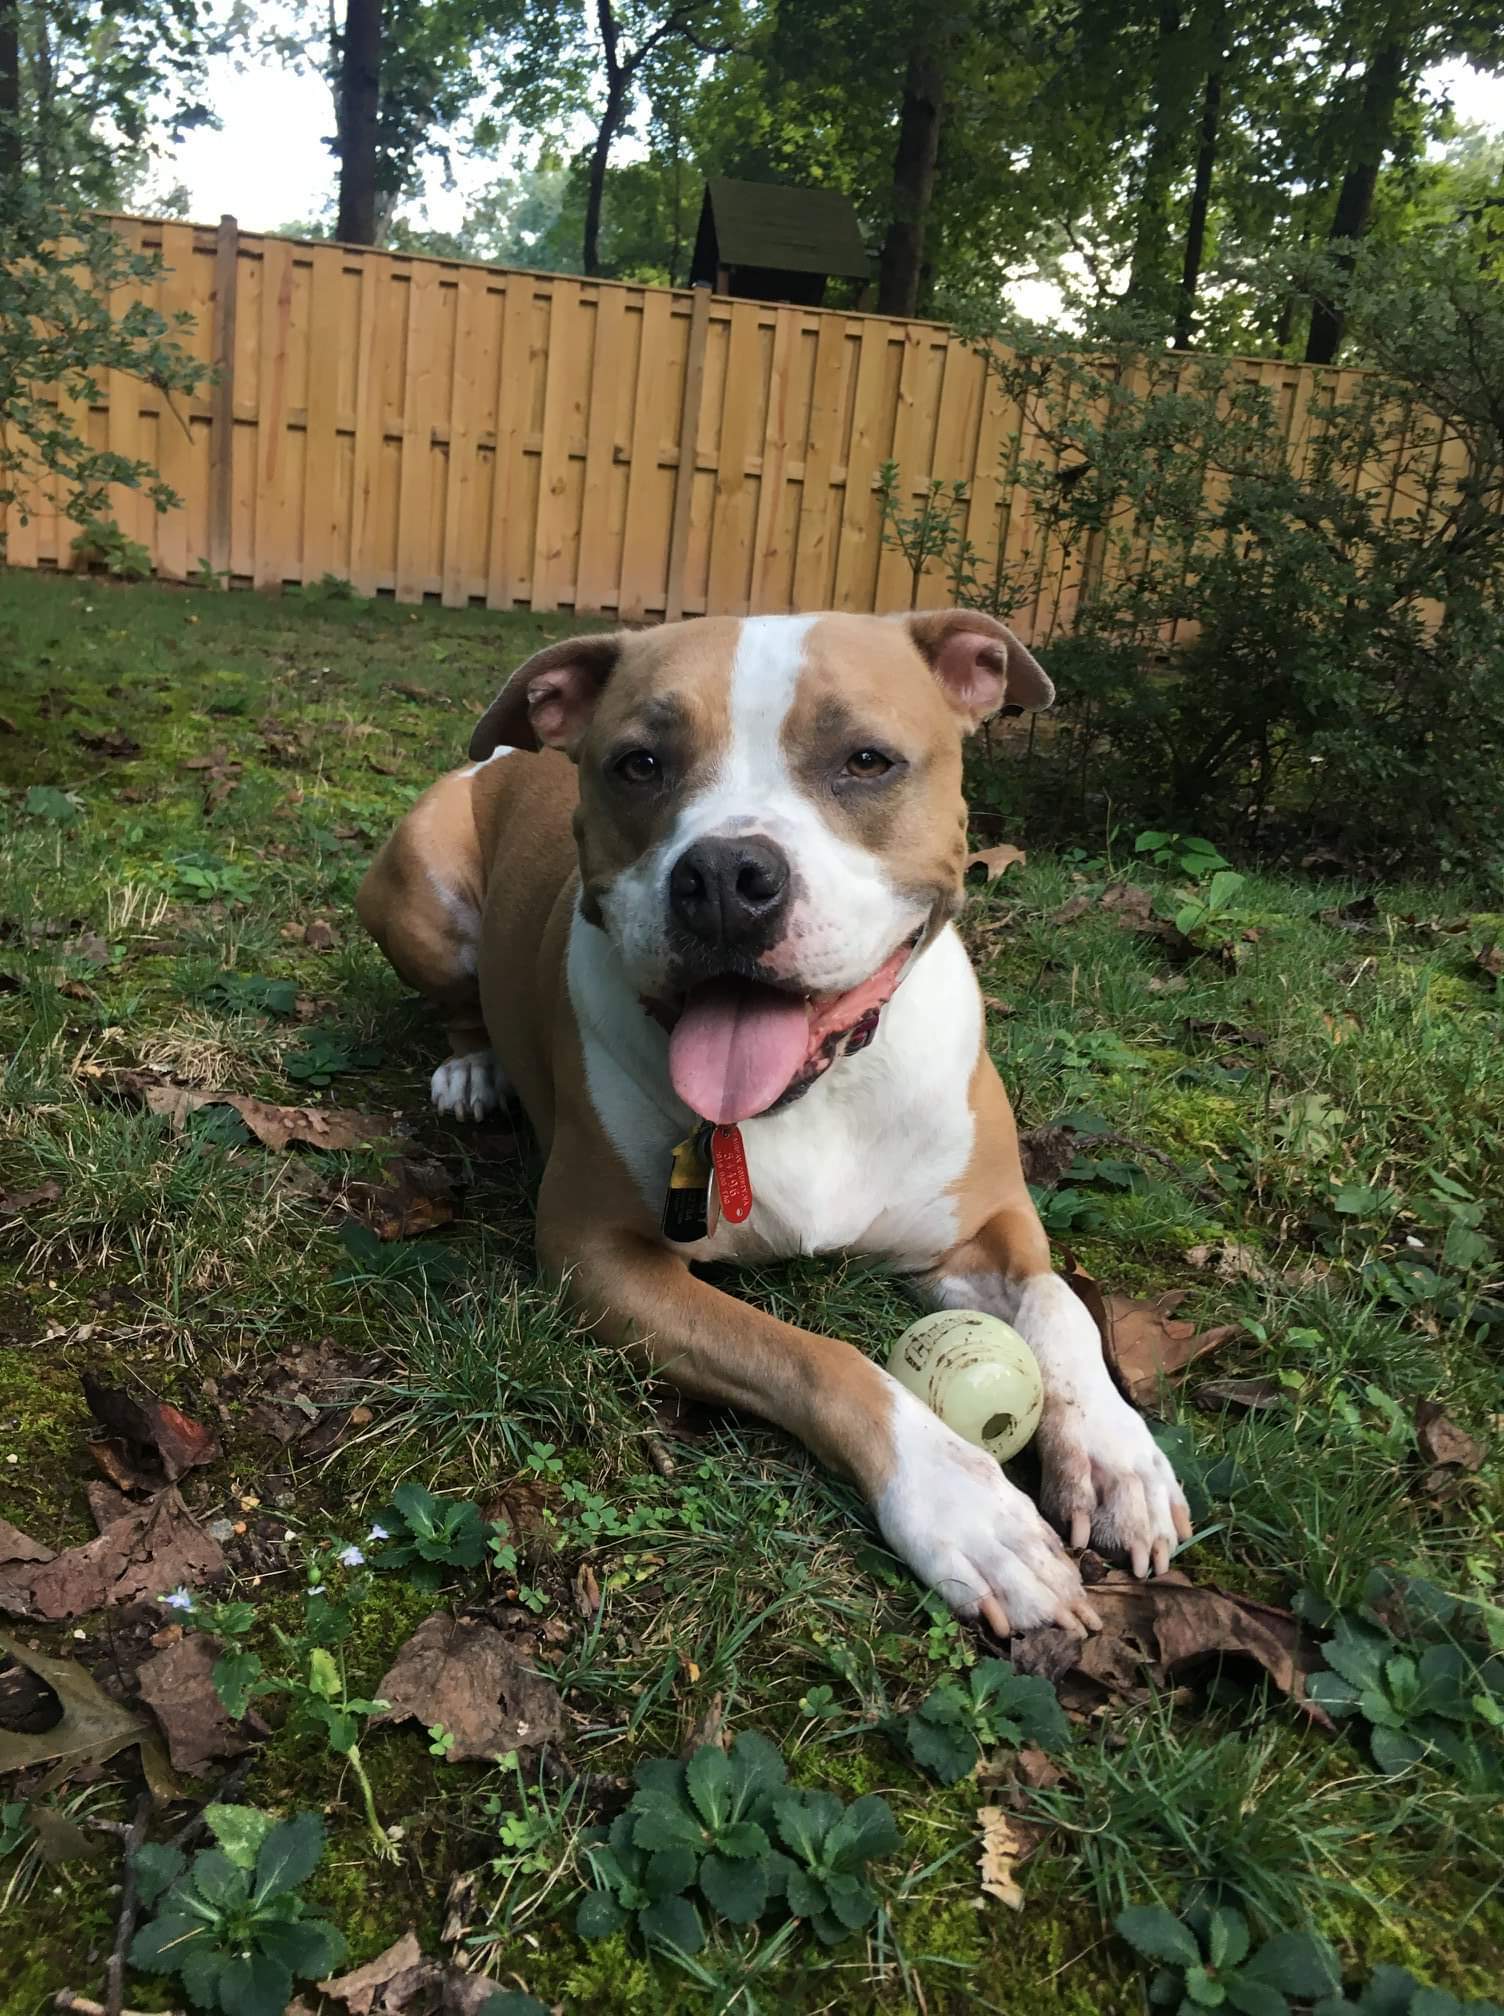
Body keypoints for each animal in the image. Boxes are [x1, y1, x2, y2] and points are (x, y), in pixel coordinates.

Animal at [356, 608, 1185, 1636]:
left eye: (866, 760)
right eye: (638, 763)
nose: (723, 873)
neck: (815, 1094)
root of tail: (505, 759)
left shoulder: (984, 1228)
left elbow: (1060, 1303)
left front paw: (1114, 1454)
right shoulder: (600, 1259)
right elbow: (819, 1358)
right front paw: (963, 1505)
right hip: (415, 888)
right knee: (458, 1001)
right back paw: (474, 1068)